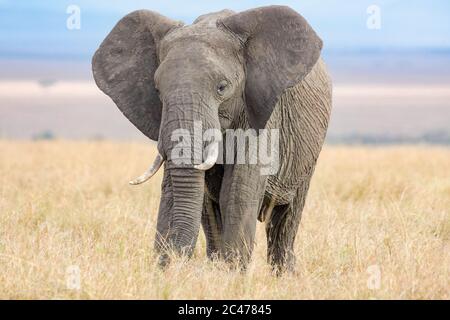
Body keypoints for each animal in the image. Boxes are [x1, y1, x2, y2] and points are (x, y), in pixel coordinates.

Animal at [92, 5, 330, 272]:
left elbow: (237, 190)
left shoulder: (261, 113)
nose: (174, 261)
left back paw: (283, 274)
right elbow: (177, 191)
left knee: (286, 217)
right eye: (157, 91)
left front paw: (232, 275)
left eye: (222, 87)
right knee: (210, 210)